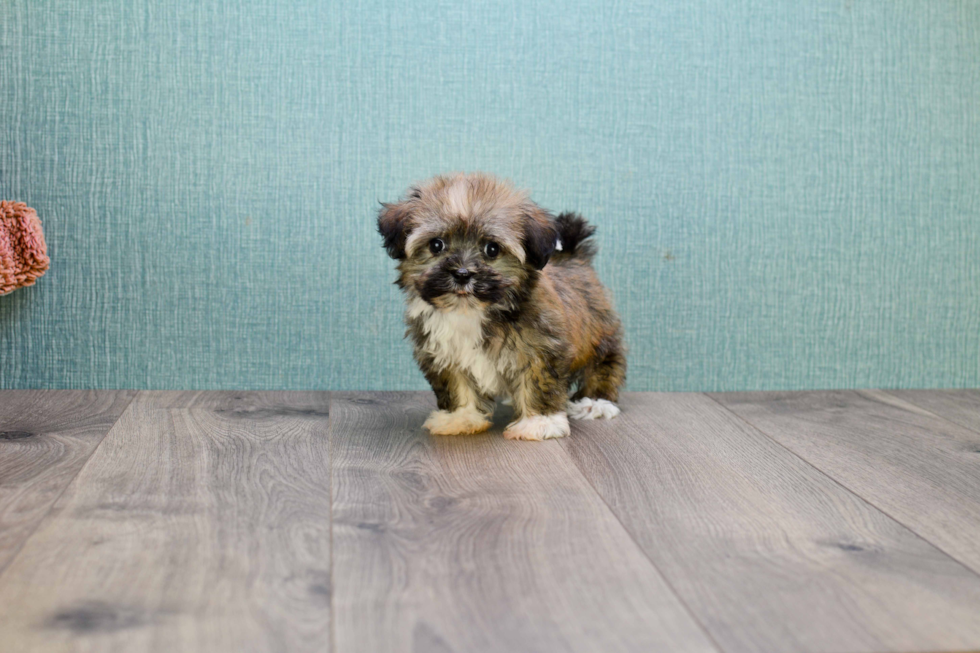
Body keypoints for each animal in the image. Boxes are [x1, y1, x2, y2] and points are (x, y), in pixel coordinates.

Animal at [378, 171, 624, 440]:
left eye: (492, 249)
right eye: (436, 244)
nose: (462, 274)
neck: (470, 311)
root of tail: (573, 256)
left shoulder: (542, 347)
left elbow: (540, 381)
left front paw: (539, 422)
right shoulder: (444, 352)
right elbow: (456, 384)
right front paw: (460, 417)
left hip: (598, 332)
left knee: (604, 363)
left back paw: (596, 401)